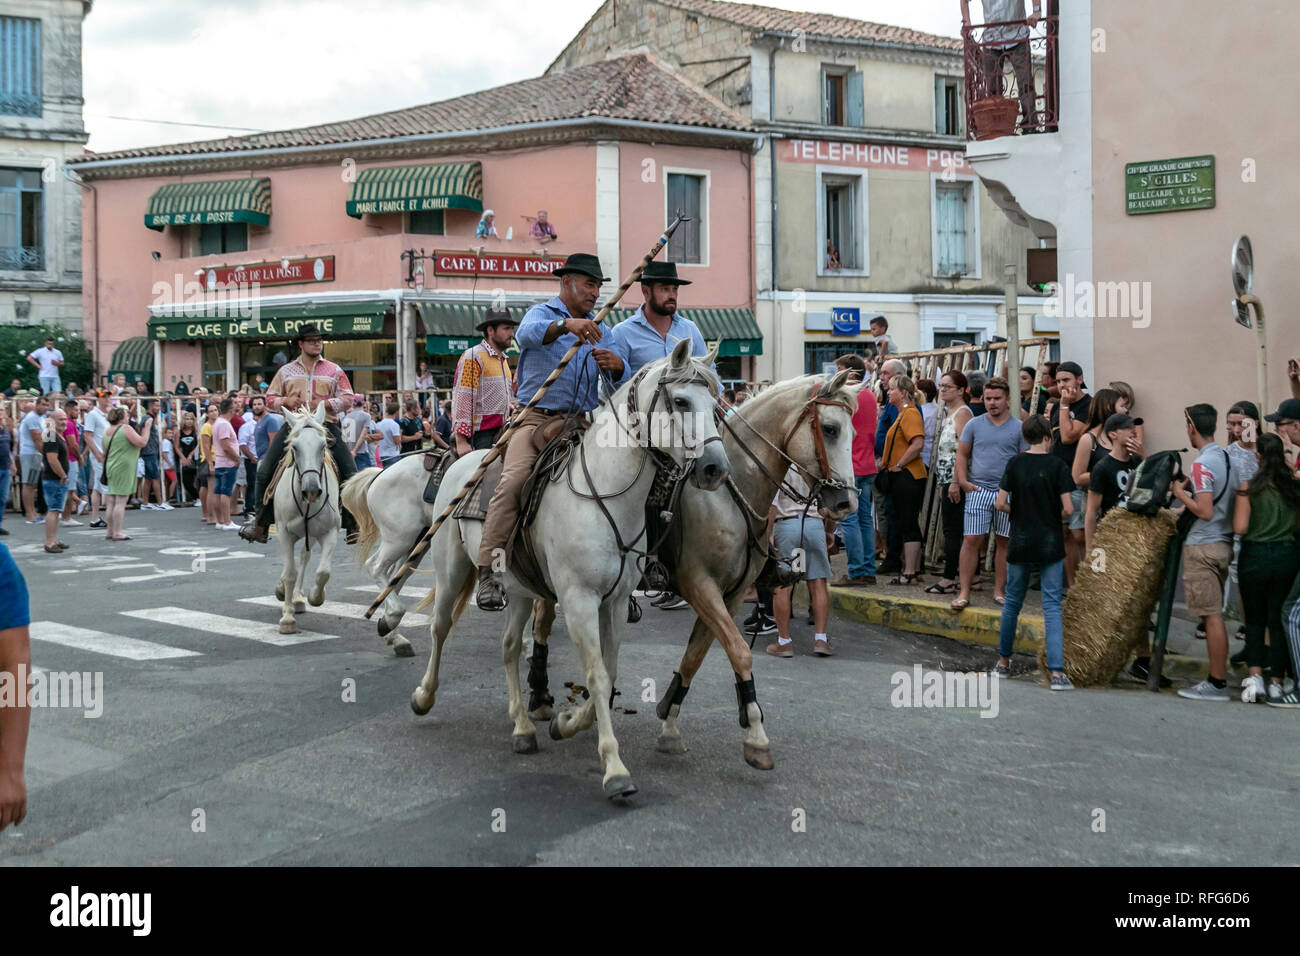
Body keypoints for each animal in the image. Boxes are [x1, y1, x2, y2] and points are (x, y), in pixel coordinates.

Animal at [273, 403, 343, 634]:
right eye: (295, 447)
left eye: (323, 446)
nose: (312, 490)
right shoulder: (284, 532)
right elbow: (289, 573)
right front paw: (287, 619)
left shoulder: (330, 532)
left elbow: (323, 572)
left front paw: (315, 597)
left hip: (309, 534)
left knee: (304, 557)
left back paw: (297, 598)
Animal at [345, 338, 733, 801]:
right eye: (681, 400)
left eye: (717, 400)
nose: (715, 468)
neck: (606, 494)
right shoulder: (579, 599)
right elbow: (597, 675)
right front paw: (614, 768)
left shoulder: (616, 602)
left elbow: (608, 672)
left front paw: (567, 723)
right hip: (441, 561)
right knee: (436, 624)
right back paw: (420, 685)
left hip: (517, 588)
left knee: (509, 646)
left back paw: (522, 727)